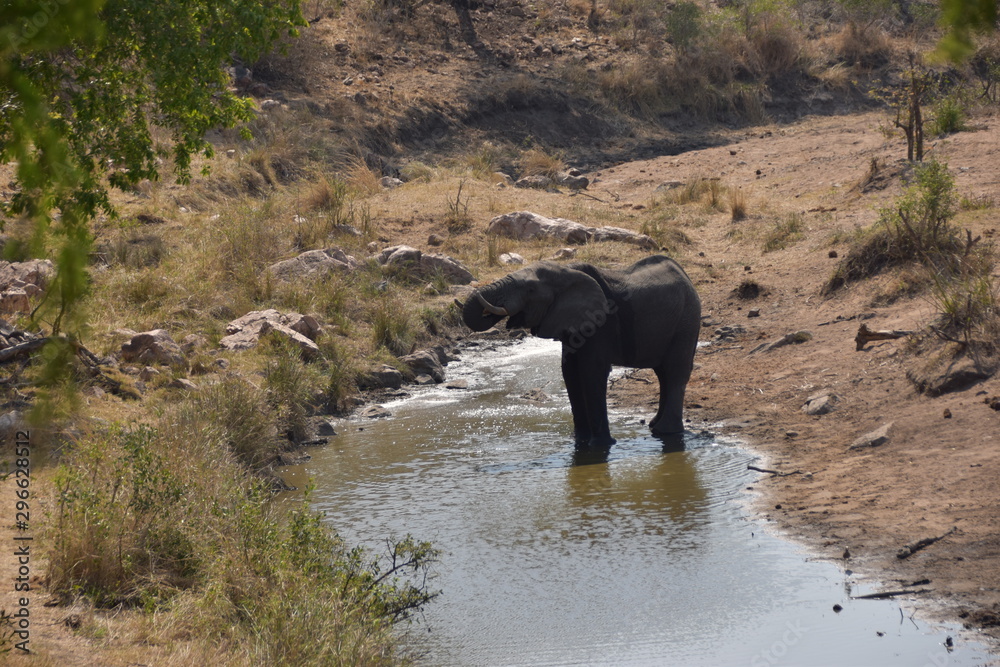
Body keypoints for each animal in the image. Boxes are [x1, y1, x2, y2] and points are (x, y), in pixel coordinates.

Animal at [460, 255, 701, 450]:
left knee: (675, 371)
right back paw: (655, 426)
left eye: (530, 290)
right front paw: (580, 441)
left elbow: (591, 371)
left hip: (686, 321)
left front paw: (601, 445)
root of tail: (685, 275)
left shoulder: (600, 323)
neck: (566, 271)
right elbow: (570, 372)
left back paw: (666, 432)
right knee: (664, 374)